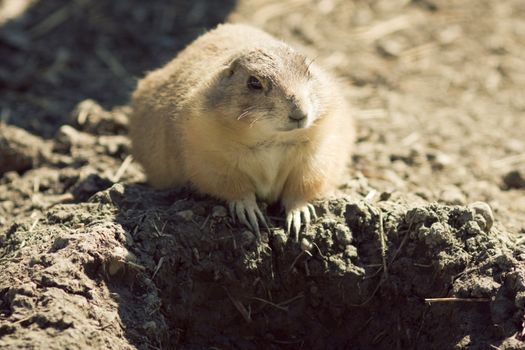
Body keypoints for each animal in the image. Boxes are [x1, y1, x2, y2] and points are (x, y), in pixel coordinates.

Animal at [129, 23, 354, 239]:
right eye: (254, 82)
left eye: (308, 71)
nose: (299, 113)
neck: (271, 138)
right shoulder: (207, 150)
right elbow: (231, 185)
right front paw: (251, 214)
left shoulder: (319, 148)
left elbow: (305, 181)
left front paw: (298, 215)